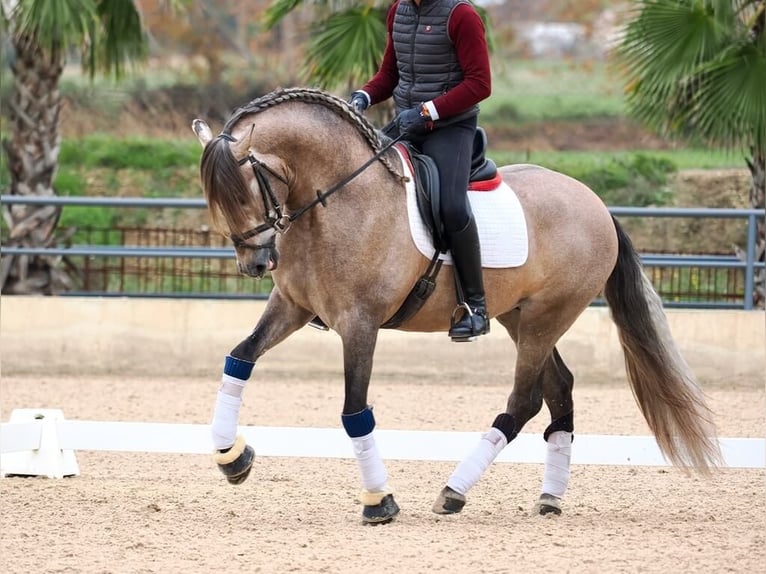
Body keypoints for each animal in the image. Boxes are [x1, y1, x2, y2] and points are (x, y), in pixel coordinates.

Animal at [195, 86, 724, 528]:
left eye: (245, 190)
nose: (255, 263)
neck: (338, 200)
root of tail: (596, 203)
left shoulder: (360, 324)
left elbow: (354, 411)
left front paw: (379, 502)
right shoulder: (292, 306)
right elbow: (238, 359)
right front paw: (231, 457)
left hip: (546, 318)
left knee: (524, 401)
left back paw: (454, 490)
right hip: (520, 317)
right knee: (559, 390)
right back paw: (549, 498)